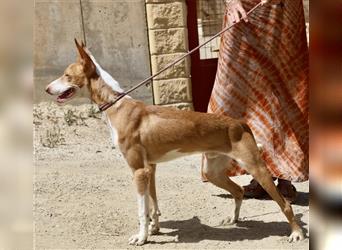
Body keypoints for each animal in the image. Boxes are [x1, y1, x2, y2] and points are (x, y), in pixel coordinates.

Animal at [44, 40, 304, 245]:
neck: (117, 105)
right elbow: (152, 204)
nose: (46, 88)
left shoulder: (138, 171)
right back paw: (234, 219)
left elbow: (142, 209)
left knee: (285, 204)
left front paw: (141, 237)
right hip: (212, 171)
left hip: (256, 167)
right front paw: (154, 229)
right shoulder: (150, 169)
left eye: (66, 75)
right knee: (238, 191)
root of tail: (240, 123)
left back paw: (297, 233)